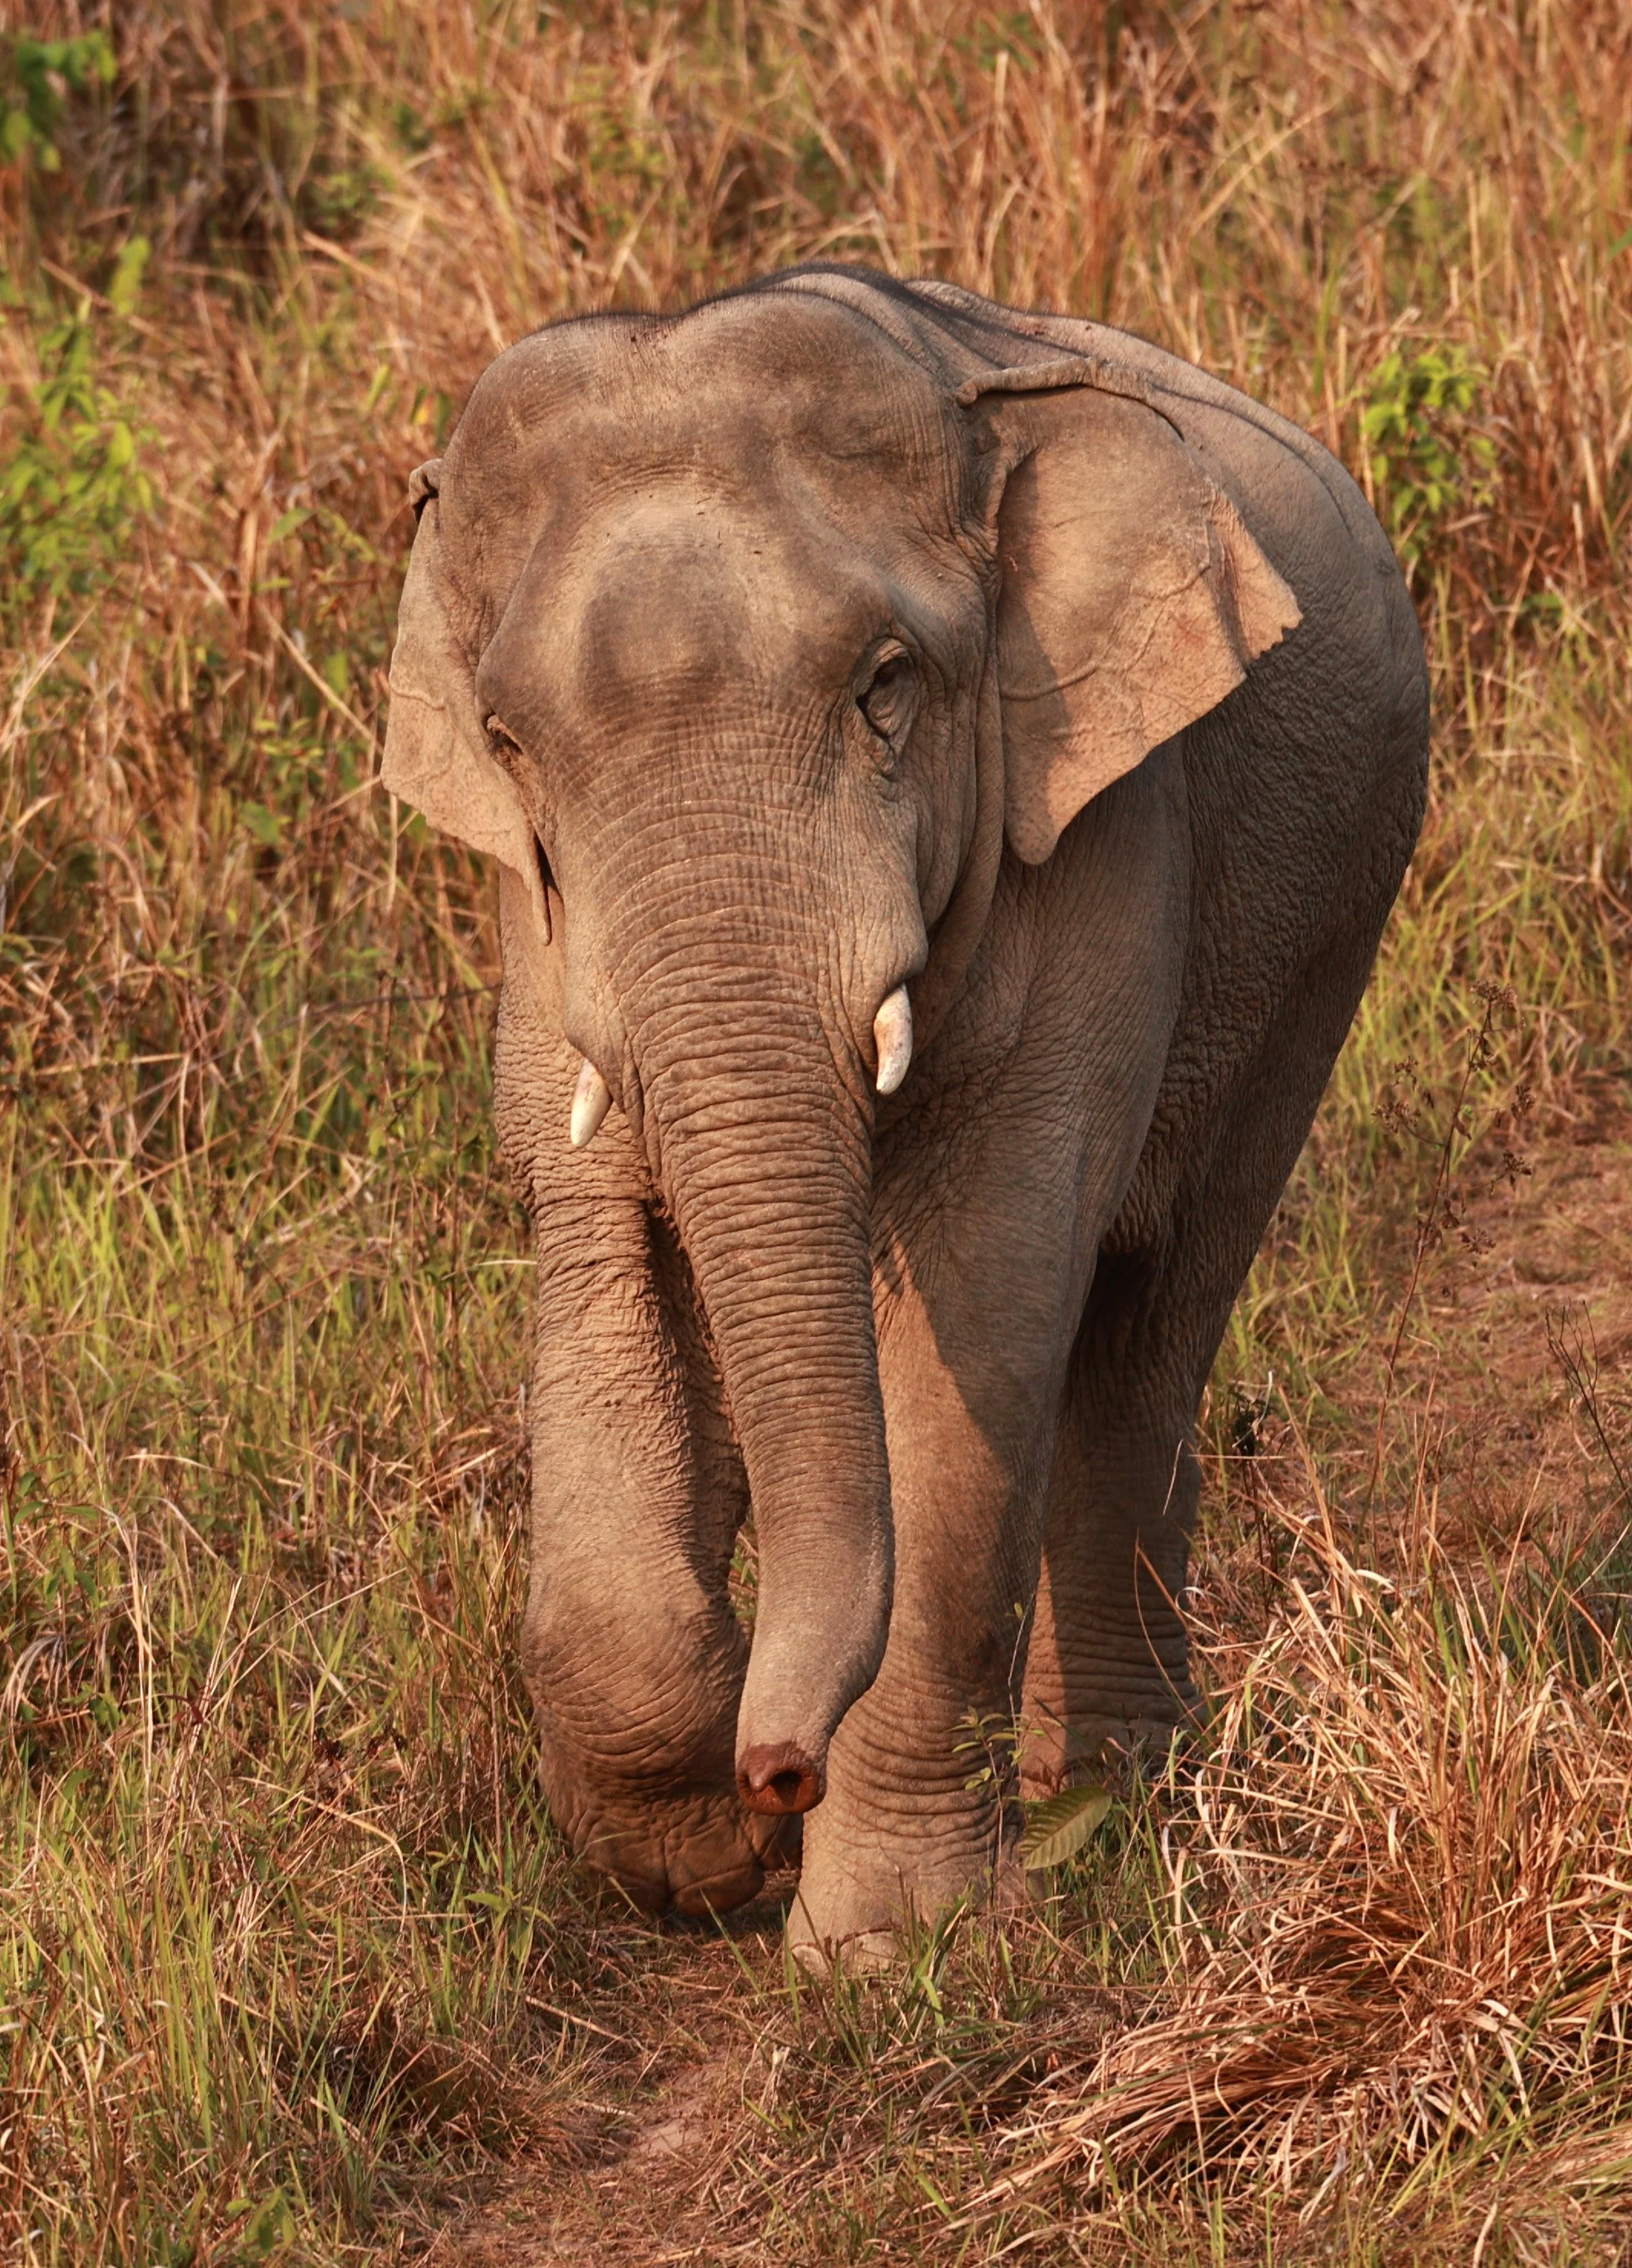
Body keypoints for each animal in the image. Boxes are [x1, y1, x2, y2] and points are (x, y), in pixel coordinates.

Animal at [381, 265, 1428, 1964]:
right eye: (510, 746)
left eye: (885, 689)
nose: (776, 1769)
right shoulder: (535, 927)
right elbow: (599, 1235)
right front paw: (699, 1858)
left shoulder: (1092, 818)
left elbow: (985, 1287)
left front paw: (888, 1953)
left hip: (1330, 922)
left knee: (1149, 1322)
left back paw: (1105, 1797)